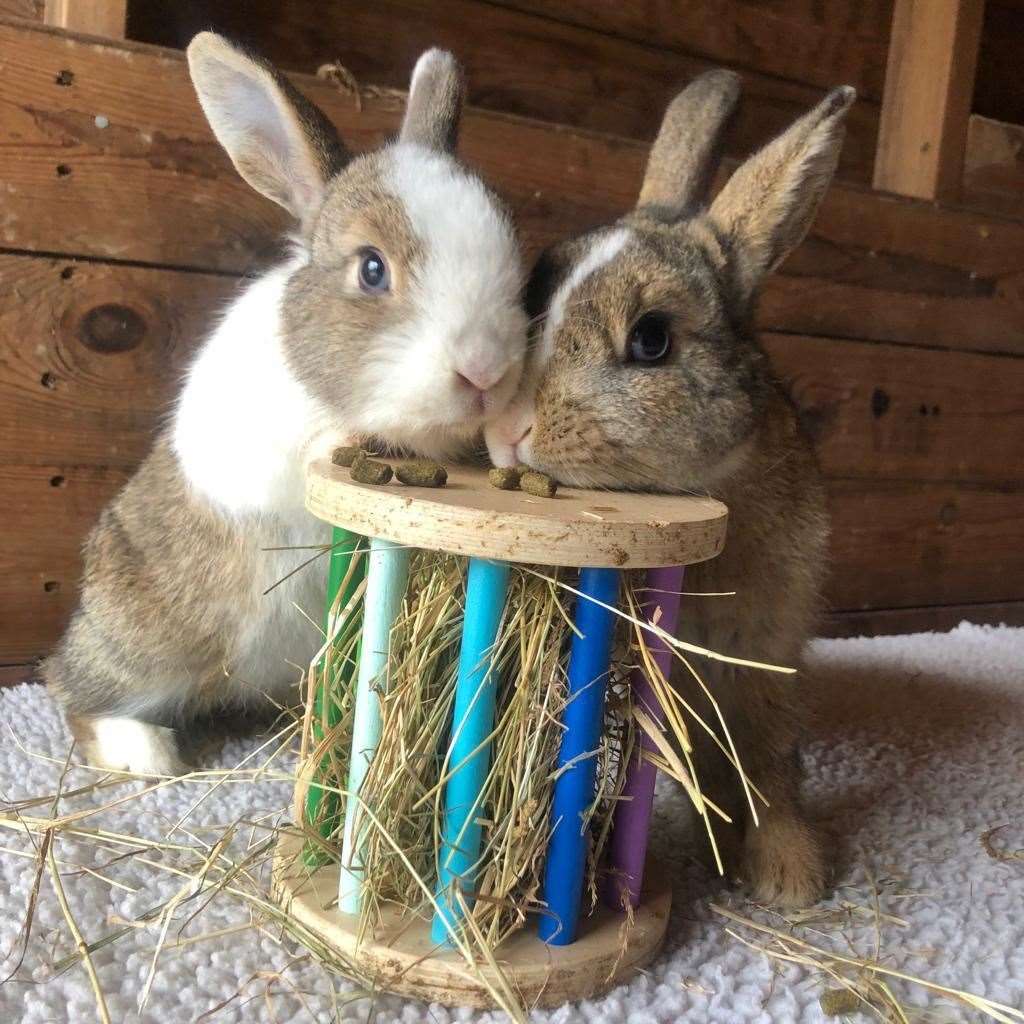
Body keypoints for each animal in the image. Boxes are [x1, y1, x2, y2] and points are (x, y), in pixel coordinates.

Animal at [41, 34, 528, 774]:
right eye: (372, 269)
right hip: (145, 642)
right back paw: (148, 754)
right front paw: (344, 443)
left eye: (514, 260)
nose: (485, 371)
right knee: (72, 690)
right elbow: (309, 457)